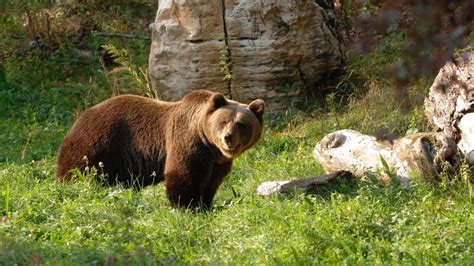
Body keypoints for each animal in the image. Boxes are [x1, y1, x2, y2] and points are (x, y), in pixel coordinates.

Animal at [56, 90, 264, 209]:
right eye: (223, 121)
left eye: (241, 124)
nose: (228, 137)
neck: (209, 146)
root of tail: (82, 115)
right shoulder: (186, 143)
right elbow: (184, 174)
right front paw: (187, 206)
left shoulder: (218, 162)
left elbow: (211, 182)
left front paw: (205, 204)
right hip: (98, 143)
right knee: (76, 168)